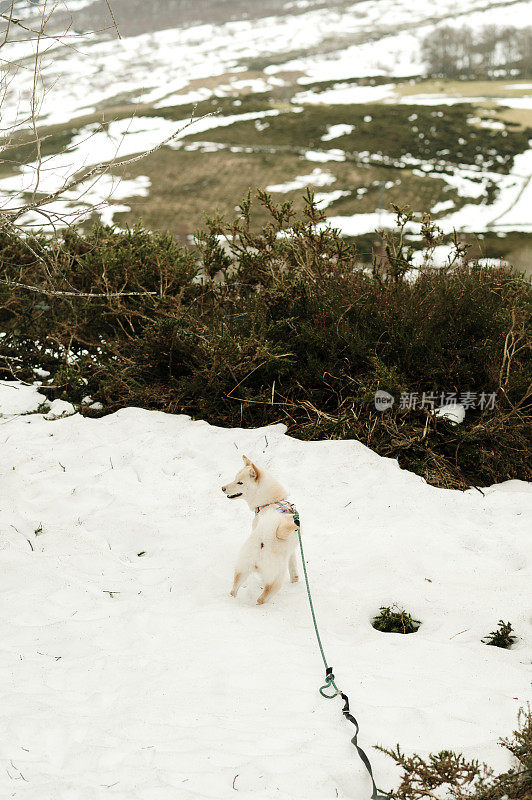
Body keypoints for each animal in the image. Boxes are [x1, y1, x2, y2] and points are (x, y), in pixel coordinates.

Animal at [220, 460, 300, 604]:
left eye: (240, 482)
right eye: (235, 479)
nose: (223, 488)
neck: (271, 502)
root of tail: (262, 543)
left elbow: (293, 568)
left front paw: (295, 580)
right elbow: (293, 565)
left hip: (243, 568)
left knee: (233, 589)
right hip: (276, 577)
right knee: (263, 596)